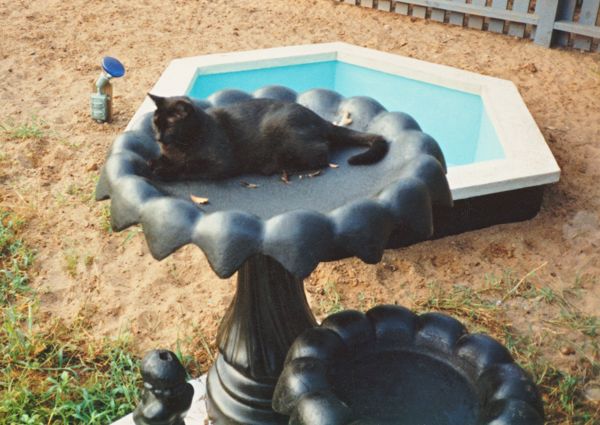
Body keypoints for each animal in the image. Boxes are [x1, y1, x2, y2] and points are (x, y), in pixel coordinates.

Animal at [148, 93, 386, 180]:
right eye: (155, 123)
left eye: (169, 126)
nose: (158, 138)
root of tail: (320, 119)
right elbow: (162, 160)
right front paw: (155, 162)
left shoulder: (221, 165)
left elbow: (188, 169)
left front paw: (163, 171)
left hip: (284, 132)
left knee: (322, 156)